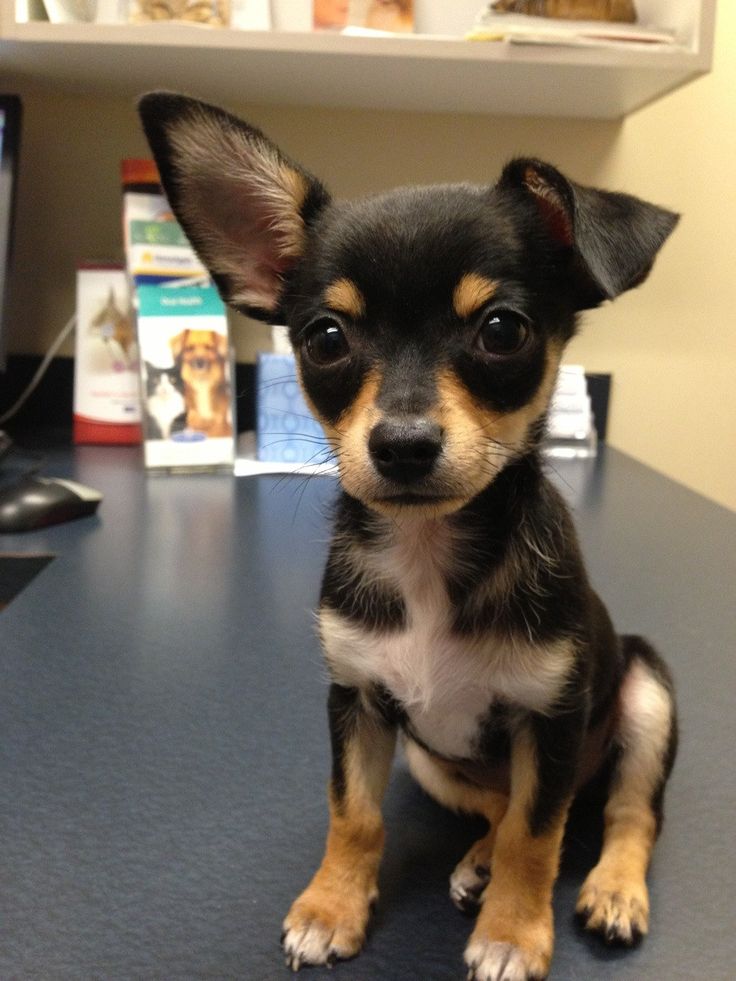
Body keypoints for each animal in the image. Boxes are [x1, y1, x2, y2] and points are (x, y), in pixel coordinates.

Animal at [138, 94, 680, 980]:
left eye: (503, 330)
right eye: (325, 338)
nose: (401, 444)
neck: (426, 553)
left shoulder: (551, 719)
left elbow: (539, 834)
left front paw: (512, 931)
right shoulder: (356, 699)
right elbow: (355, 812)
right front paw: (331, 906)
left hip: (645, 697)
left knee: (620, 812)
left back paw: (611, 889)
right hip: (433, 757)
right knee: (502, 799)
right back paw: (480, 859)